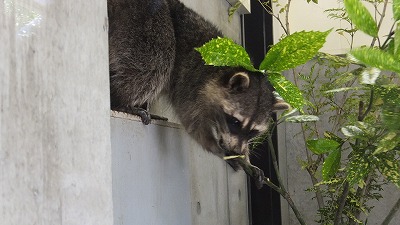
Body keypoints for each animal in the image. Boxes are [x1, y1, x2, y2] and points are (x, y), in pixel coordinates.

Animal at [106, 0, 288, 169]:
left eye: (253, 131)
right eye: (235, 121)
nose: (236, 151)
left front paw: (246, 157)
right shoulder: (189, 81)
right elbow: (192, 122)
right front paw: (217, 148)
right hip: (144, 22)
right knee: (156, 61)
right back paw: (119, 100)